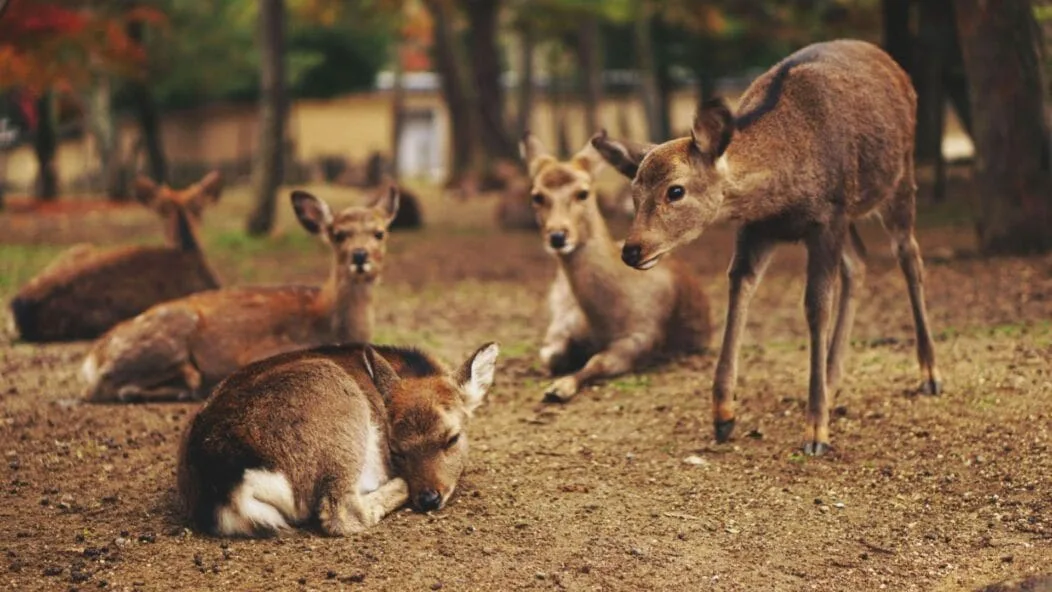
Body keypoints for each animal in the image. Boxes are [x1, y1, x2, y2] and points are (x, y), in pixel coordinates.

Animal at [81, 187, 400, 403]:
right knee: (112, 386)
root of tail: (92, 359)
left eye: (380, 232)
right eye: (338, 234)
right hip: (167, 335)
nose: (360, 256)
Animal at [177, 341, 499, 537]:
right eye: (396, 450)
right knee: (340, 512)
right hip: (338, 409)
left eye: (452, 438)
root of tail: (227, 487)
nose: (429, 498)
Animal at [521, 134, 713, 403]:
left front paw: (559, 388)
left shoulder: (642, 335)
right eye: (537, 195)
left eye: (583, 193)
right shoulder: (562, 322)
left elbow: (598, 361)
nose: (558, 236)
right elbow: (550, 354)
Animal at [591, 39, 941, 455]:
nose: (632, 249)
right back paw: (832, 378)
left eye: (675, 191)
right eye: (634, 192)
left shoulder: (827, 218)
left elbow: (815, 307)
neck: (781, 192)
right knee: (859, 261)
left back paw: (930, 375)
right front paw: (723, 415)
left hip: (899, 179)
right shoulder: (758, 228)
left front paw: (815, 431)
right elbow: (739, 288)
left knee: (909, 256)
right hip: (852, 216)